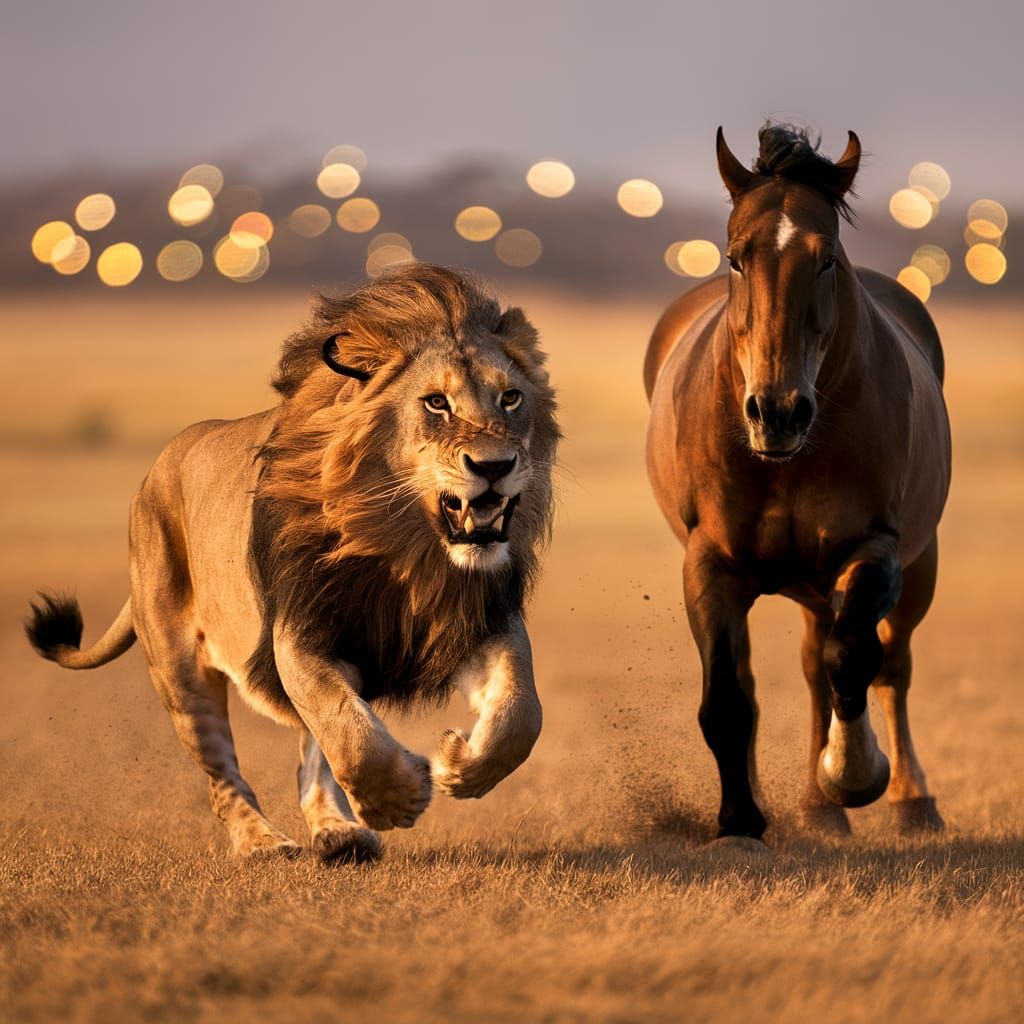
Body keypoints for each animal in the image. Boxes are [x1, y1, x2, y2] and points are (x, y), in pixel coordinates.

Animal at [25, 264, 559, 862]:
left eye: (510, 398)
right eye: (436, 403)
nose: (495, 466)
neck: (408, 553)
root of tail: (155, 470)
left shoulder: (481, 621)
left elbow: (521, 713)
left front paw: (459, 767)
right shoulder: (298, 632)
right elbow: (348, 732)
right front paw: (397, 800)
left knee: (311, 761)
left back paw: (339, 833)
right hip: (179, 671)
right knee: (224, 772)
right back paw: (260, 841)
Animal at [644, 124, 951, 841]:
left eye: (826, 259)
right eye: (735, 258)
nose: (777, 412)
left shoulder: (874, 550)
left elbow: (855, 658)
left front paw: (854, 773)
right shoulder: (709, 562)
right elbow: (730, 696)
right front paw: (738, 822)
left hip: (915, 563)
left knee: (887, 665)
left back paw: (905, 801)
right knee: (803, 667)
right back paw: (815, 810)